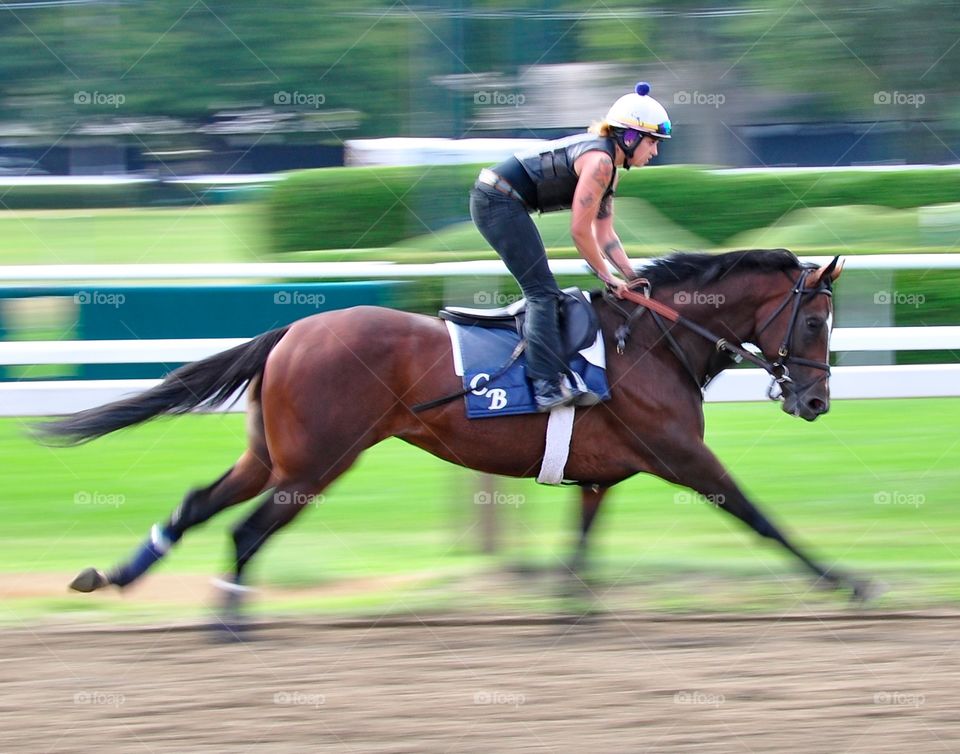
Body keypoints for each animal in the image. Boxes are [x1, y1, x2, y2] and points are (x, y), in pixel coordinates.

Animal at [37, 247, 876, 612]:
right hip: (316, 464)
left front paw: (573, 613)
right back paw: (228, 622)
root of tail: (292, 332)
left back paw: (113, 575)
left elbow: (579, 548)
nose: (815, 402)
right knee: (244, 533)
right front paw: (848, 579)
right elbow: (760, 517)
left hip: (273, 455)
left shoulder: (600, 474)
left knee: (196, 502)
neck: (653, 340)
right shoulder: (683, 456)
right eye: (815, 320)